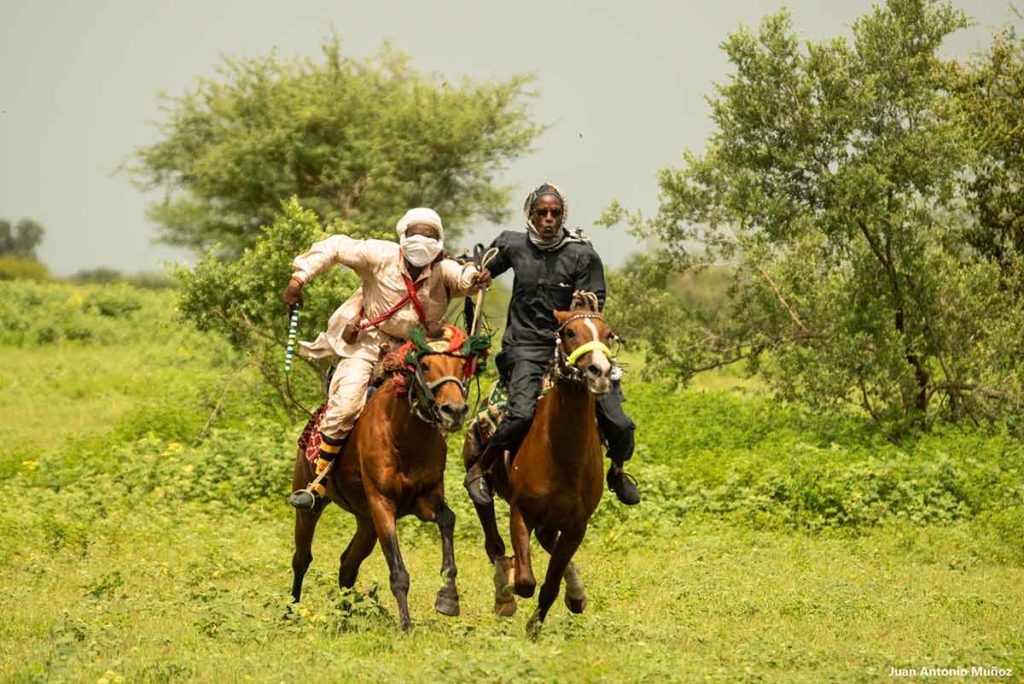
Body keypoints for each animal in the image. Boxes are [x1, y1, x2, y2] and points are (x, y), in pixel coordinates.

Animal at [288, 325, 487, 630]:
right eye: (425, 365)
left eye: (462, 365)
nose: (453, 411)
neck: (404, 435)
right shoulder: (382, 504)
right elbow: (398, 572)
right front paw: (406, 626)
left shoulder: (426, 499)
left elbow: (448, 519)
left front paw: (448, 598)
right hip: (311, 506)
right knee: (301, 557)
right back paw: (290, 611)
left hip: (366, 522)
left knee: (347, 565)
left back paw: (343, 617)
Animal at [464, 294, 614, 634]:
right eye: (570, 332)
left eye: (608, 334)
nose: (599, 371)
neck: (563, 456)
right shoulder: (521, 512)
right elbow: (525, 581)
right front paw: (508, 588)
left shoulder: (576, 527)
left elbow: (550, 583)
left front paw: (539, 622)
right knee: (492, 537)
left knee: (548, 543)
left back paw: (576, 592)